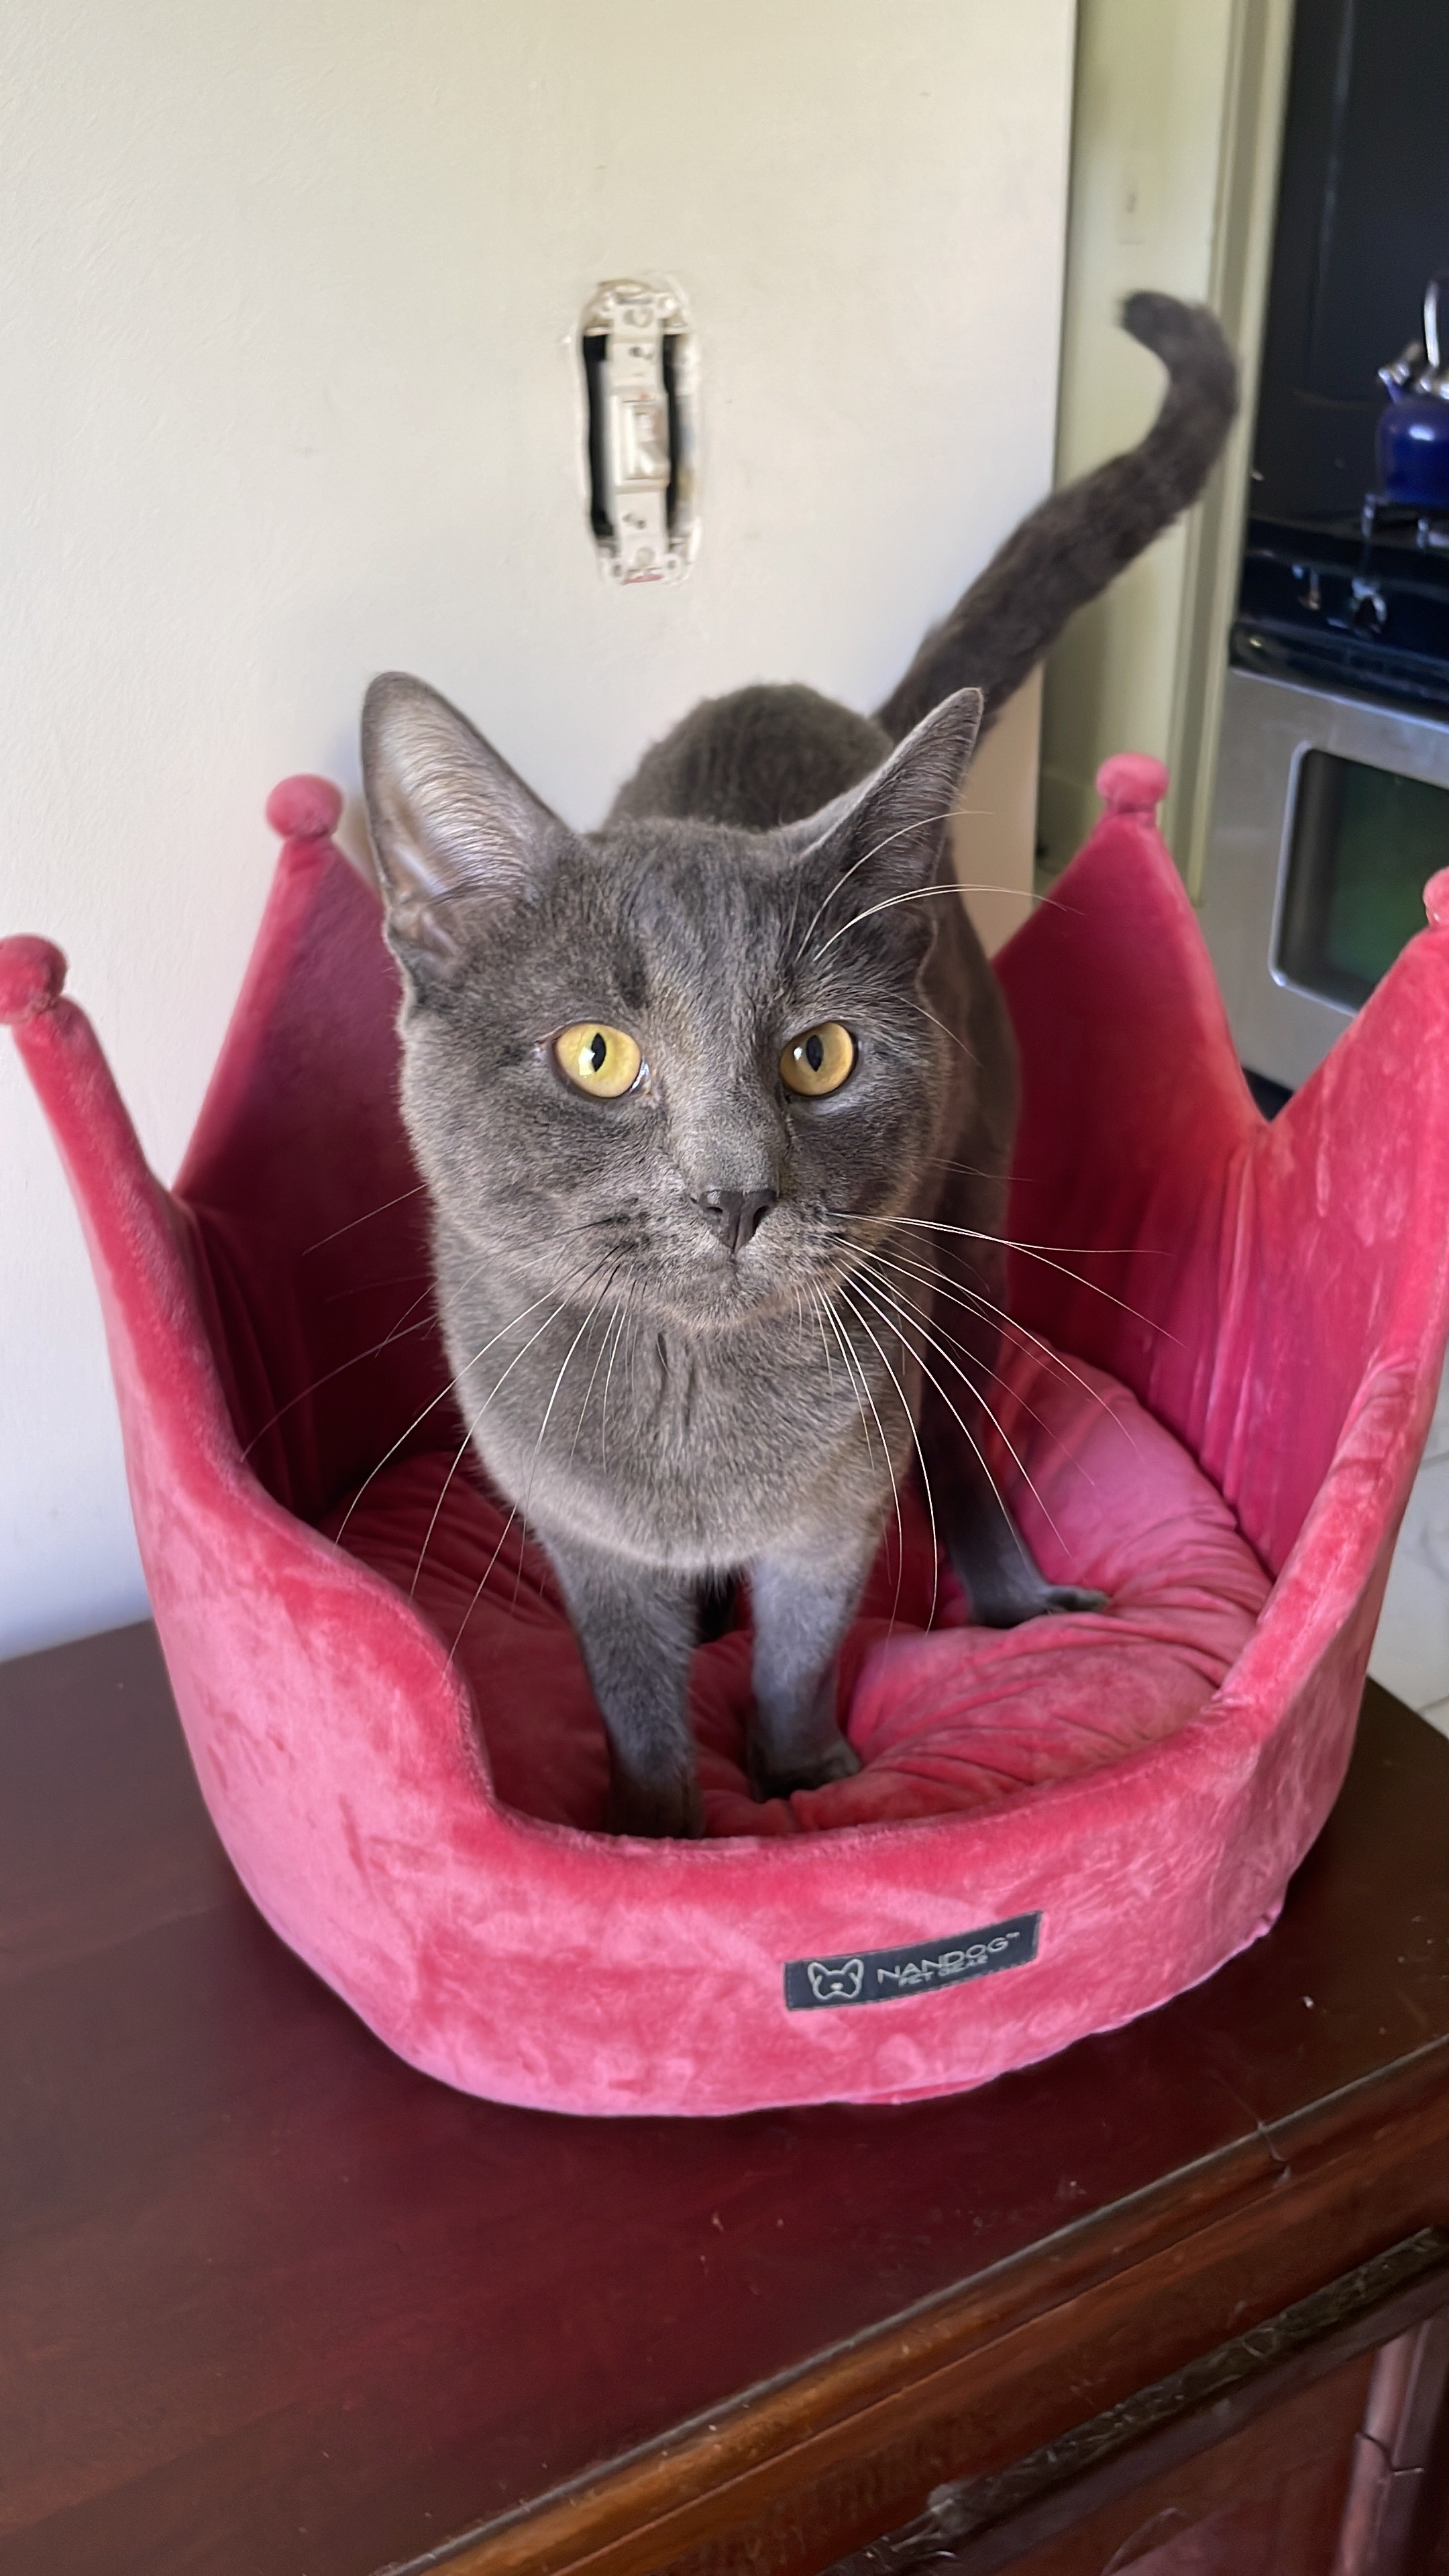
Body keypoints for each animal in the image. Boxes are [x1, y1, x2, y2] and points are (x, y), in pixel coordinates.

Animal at [361, 292, 1227, 1844]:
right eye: (598, 1055)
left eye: (819, 1058)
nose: (737, 1193)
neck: (690, 1398)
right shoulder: (582, 1539)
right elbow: (634, 1699)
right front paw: (655, 1825)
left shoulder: (834, 1515)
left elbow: (804, 1651)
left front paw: (806, 1781)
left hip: (971, 1229)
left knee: (964, 1441)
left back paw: (1011, 1598)